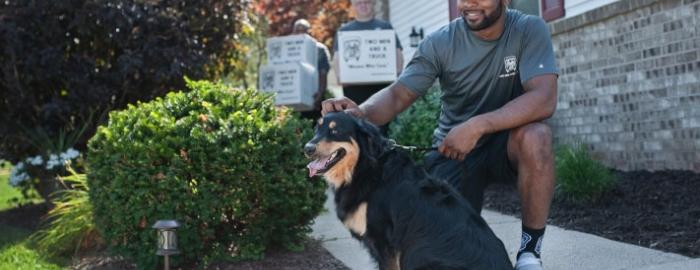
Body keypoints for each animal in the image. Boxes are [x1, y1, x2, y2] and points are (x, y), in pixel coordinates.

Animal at [304, 112, 512, 270]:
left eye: (335, 130)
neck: (364, 168)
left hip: (419, 254)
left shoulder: (384, 243)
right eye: (316, 129)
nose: (307, 148)